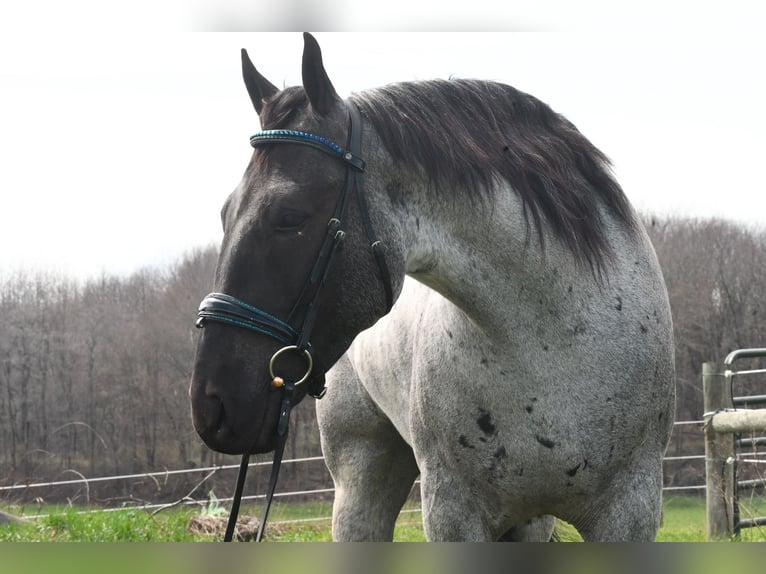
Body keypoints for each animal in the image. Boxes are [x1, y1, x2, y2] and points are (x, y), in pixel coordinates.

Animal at [190, 33, 675, 542]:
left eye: (289, 216)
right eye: (225, 213)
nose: (211, 405)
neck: (553, 344)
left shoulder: (628, 512)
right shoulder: (453, 513)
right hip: (362, 480)